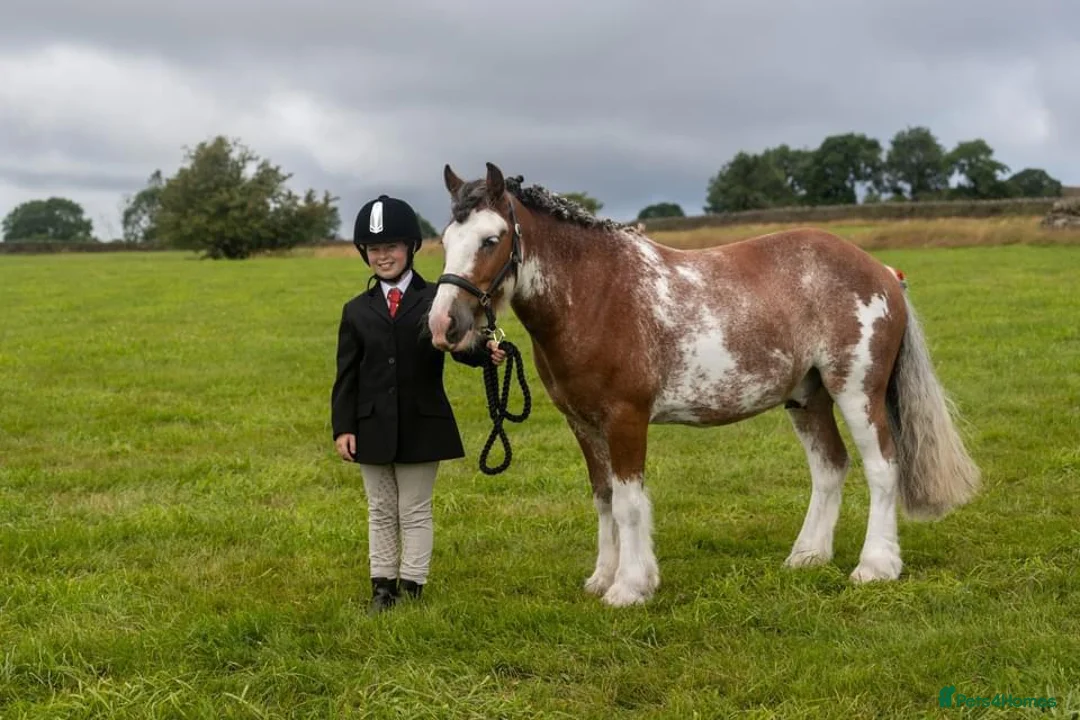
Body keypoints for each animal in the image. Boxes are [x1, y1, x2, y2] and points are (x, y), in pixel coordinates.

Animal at [428, 162, 980, 607]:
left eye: (492, 238)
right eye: (446, 239)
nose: (444, 325)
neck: (597, 294)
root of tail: (881, 270)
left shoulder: (626, 418)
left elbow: (629, 503)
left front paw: (630, 587)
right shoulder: (583, 424)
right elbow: (603, 498)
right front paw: (602, 577)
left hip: (856, 391)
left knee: (882, 468)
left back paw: (875, 566)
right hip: (807, 397)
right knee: (830, 467)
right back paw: (807, 556)